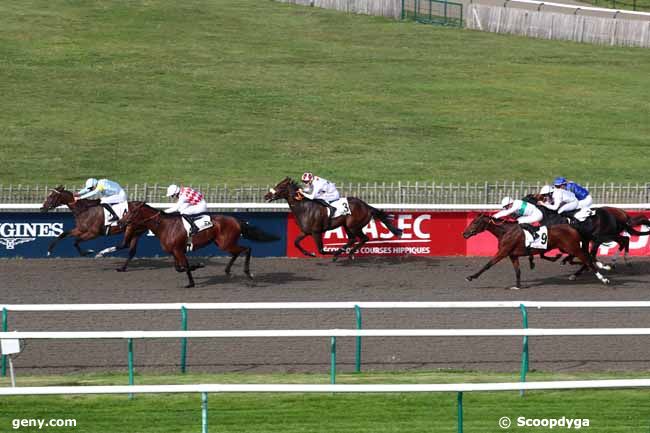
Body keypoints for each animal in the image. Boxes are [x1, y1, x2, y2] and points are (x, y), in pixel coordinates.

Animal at [117, 202, 278, 286]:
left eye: (131, 212)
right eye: (125, 211)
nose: (120, 222)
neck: (165, 226)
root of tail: (236, 220)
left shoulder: (178, 251)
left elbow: (185, 266)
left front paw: (193, 278)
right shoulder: (175, 251)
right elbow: (179, 268)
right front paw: (195, 270)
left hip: (226, 243)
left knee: (247, 249)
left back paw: (248, 273)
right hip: (222, 243)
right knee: (237, 252)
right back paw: (228, 271)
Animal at [264, 176, 400, 260]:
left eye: (280, 187)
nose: (266, 196)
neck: (304, 207)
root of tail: (366, 206)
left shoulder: (316, 232)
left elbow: (321, 250)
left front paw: (331, 253)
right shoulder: (305, 231)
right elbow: (296, 243)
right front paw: (310, 253)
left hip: (354, 226)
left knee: (364, 238)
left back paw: (347, 254)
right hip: (347, 225)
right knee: (352, 239)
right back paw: (342, 252)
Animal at [460, 213, 608, 288]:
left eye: (475, 222)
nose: (465, 234)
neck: (506, 231)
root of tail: (573, 228)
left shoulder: (503, 252)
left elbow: (488, 264)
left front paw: (471, 277)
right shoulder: (512, 255)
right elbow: (518, 271)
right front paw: (517, 285)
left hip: (573, 247)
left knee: (587, 260)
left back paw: (603, 278)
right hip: (569, 247)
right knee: (586, 258)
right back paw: (602, 267)